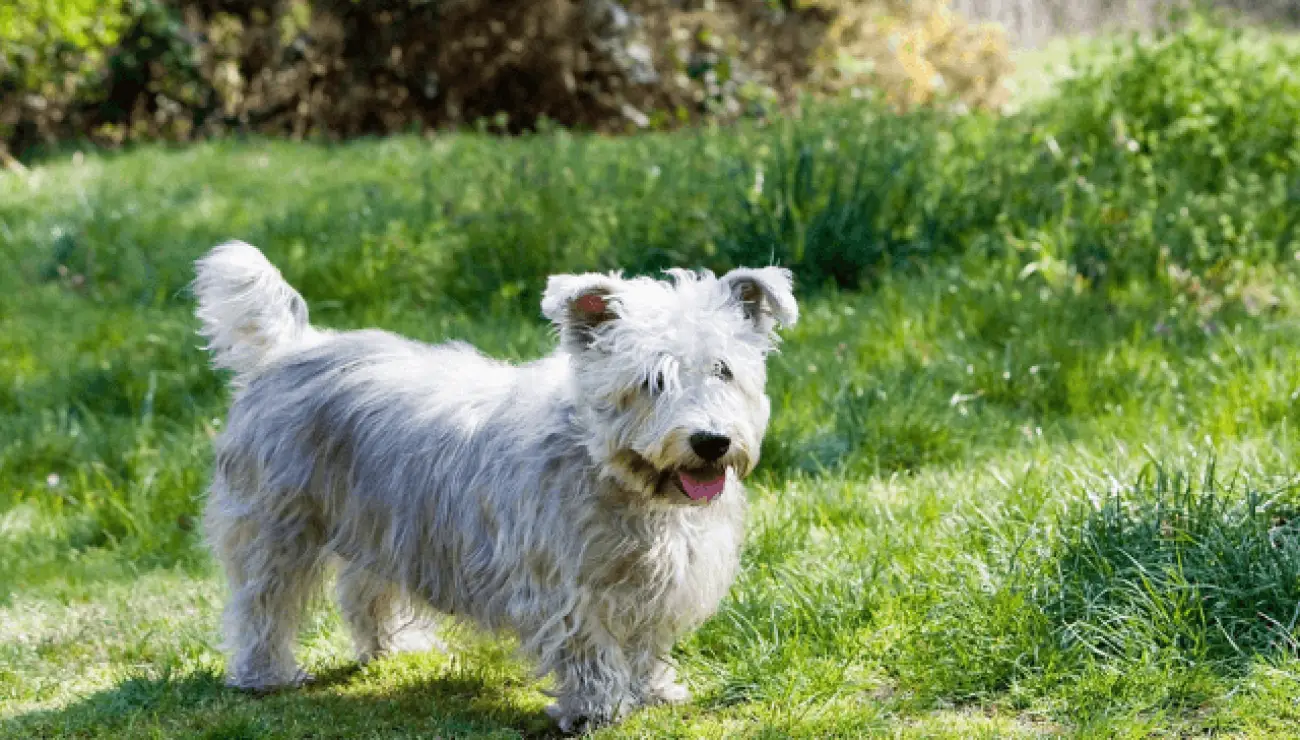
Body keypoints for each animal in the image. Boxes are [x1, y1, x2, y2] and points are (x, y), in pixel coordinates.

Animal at [191, 239, 795, 728]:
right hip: (277, 527)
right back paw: (264, 674)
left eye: (722, 369)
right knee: (262, 604)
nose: (711, 441)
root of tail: (288, 349)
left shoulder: (660, 579)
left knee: (365, 591)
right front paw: (597, 707)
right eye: (653, 379)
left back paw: (395, 648)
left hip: (383, 522)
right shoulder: (562, 583)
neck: (608, 470)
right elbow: (588, 646)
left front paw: (654, 691)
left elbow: (646, 642)